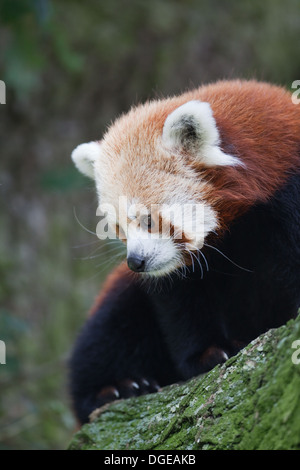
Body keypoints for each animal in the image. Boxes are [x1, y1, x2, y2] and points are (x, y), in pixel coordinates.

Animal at [69, 79, 300, 424]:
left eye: (148, 220)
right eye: (119, 228)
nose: (135, 262)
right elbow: (180, 302)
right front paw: (207, 353)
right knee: (108, 331)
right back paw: (113, 390)